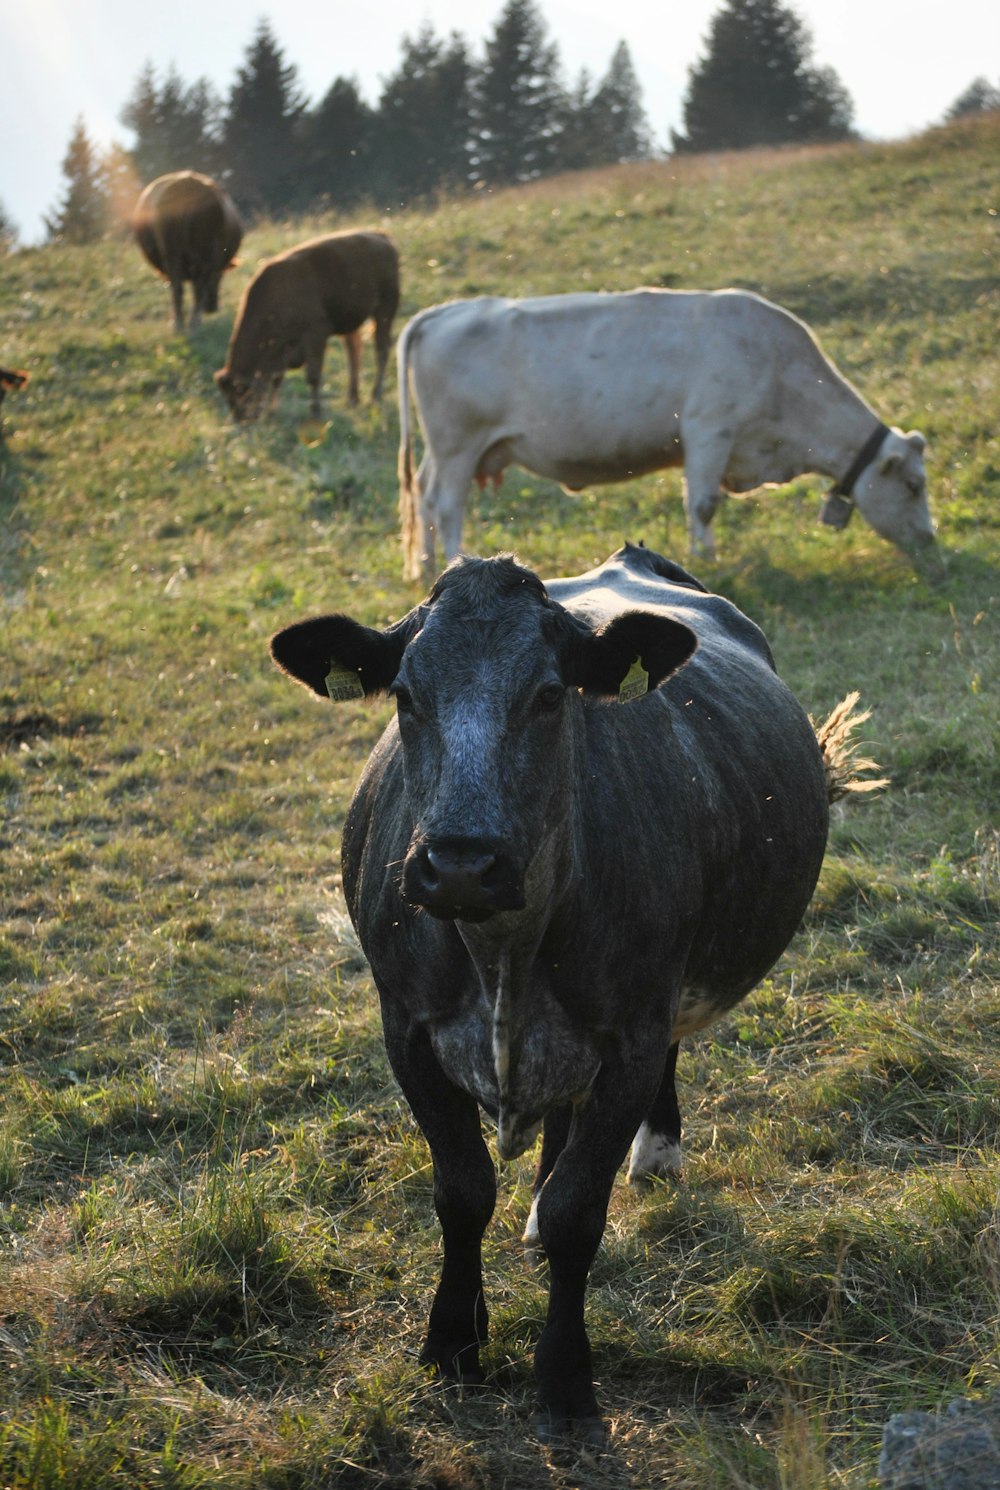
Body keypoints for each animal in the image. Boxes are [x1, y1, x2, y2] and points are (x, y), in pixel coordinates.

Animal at [131, 170, 242, 333]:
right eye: (221, 277)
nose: (212, 308)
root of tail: (187, 184)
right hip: (203, 256)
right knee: (197, 290)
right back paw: (194, 323)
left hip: (174, 256)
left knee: (177, 290)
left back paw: (179, 324)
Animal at [214, 229, 399, 423]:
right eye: (228, 399)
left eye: (241, 393)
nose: (241, 419)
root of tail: (381, 236)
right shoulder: (281, 352)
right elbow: (277, 378)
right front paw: (271, 412)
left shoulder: (316, 336)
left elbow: (313, 376)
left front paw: (316, 413)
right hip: (353, 323)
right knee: (354, 352)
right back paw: (353, 398)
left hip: (385, 310)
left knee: (381, 351)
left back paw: (375, 396)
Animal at [269, 542, 882, 1436]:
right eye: (406, 698)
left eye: (551, 695)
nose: (461, 862)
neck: (503, 954)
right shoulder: (406, 1028)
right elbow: (462, 1191)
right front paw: (453, 1342)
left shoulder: (629, 1035)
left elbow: (576, 1215)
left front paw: (562, 1376)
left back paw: (655, 1154)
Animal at [393, 287, 941, 578]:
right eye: (913, 485)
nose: (930, 542)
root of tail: (446, 310)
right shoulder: (709, 430)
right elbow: (702, 504)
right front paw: (707, 559)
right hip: (458, 445)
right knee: (447, 505)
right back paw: (451, 563)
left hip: (443, 450)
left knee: (422, 498)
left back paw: (423, 566)